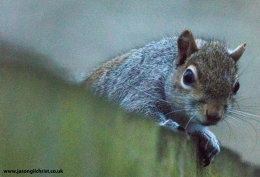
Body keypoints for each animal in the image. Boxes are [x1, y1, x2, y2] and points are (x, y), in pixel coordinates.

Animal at [85, 29, 246, 167]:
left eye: (237, 86)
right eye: (187, 76)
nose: (214, 114)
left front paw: (208, 137)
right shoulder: (142, 86)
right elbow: (138, 108)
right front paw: (170, 124)